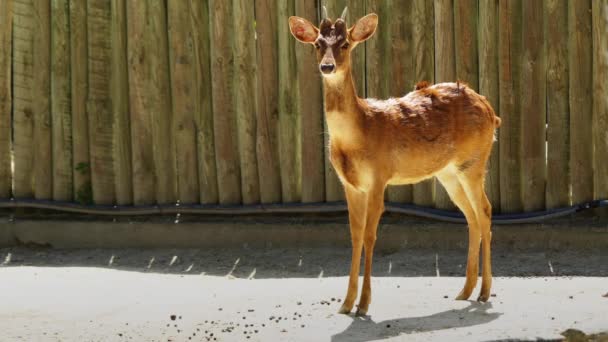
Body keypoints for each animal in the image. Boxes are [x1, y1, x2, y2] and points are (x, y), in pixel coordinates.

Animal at [290, 8, 504, 316]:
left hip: (474, 161)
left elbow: (370, 235)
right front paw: (345, 304)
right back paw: (465, 291)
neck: (358, 136)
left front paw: (364, 304)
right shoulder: (349, 184)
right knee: (471, 216)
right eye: (318, 43)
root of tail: (492, 112)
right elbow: (355, 235)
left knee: (485, 210)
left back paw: (485, 292)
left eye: (345, 43)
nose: (327, 67)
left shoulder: (379, 176)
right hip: (448, 173)